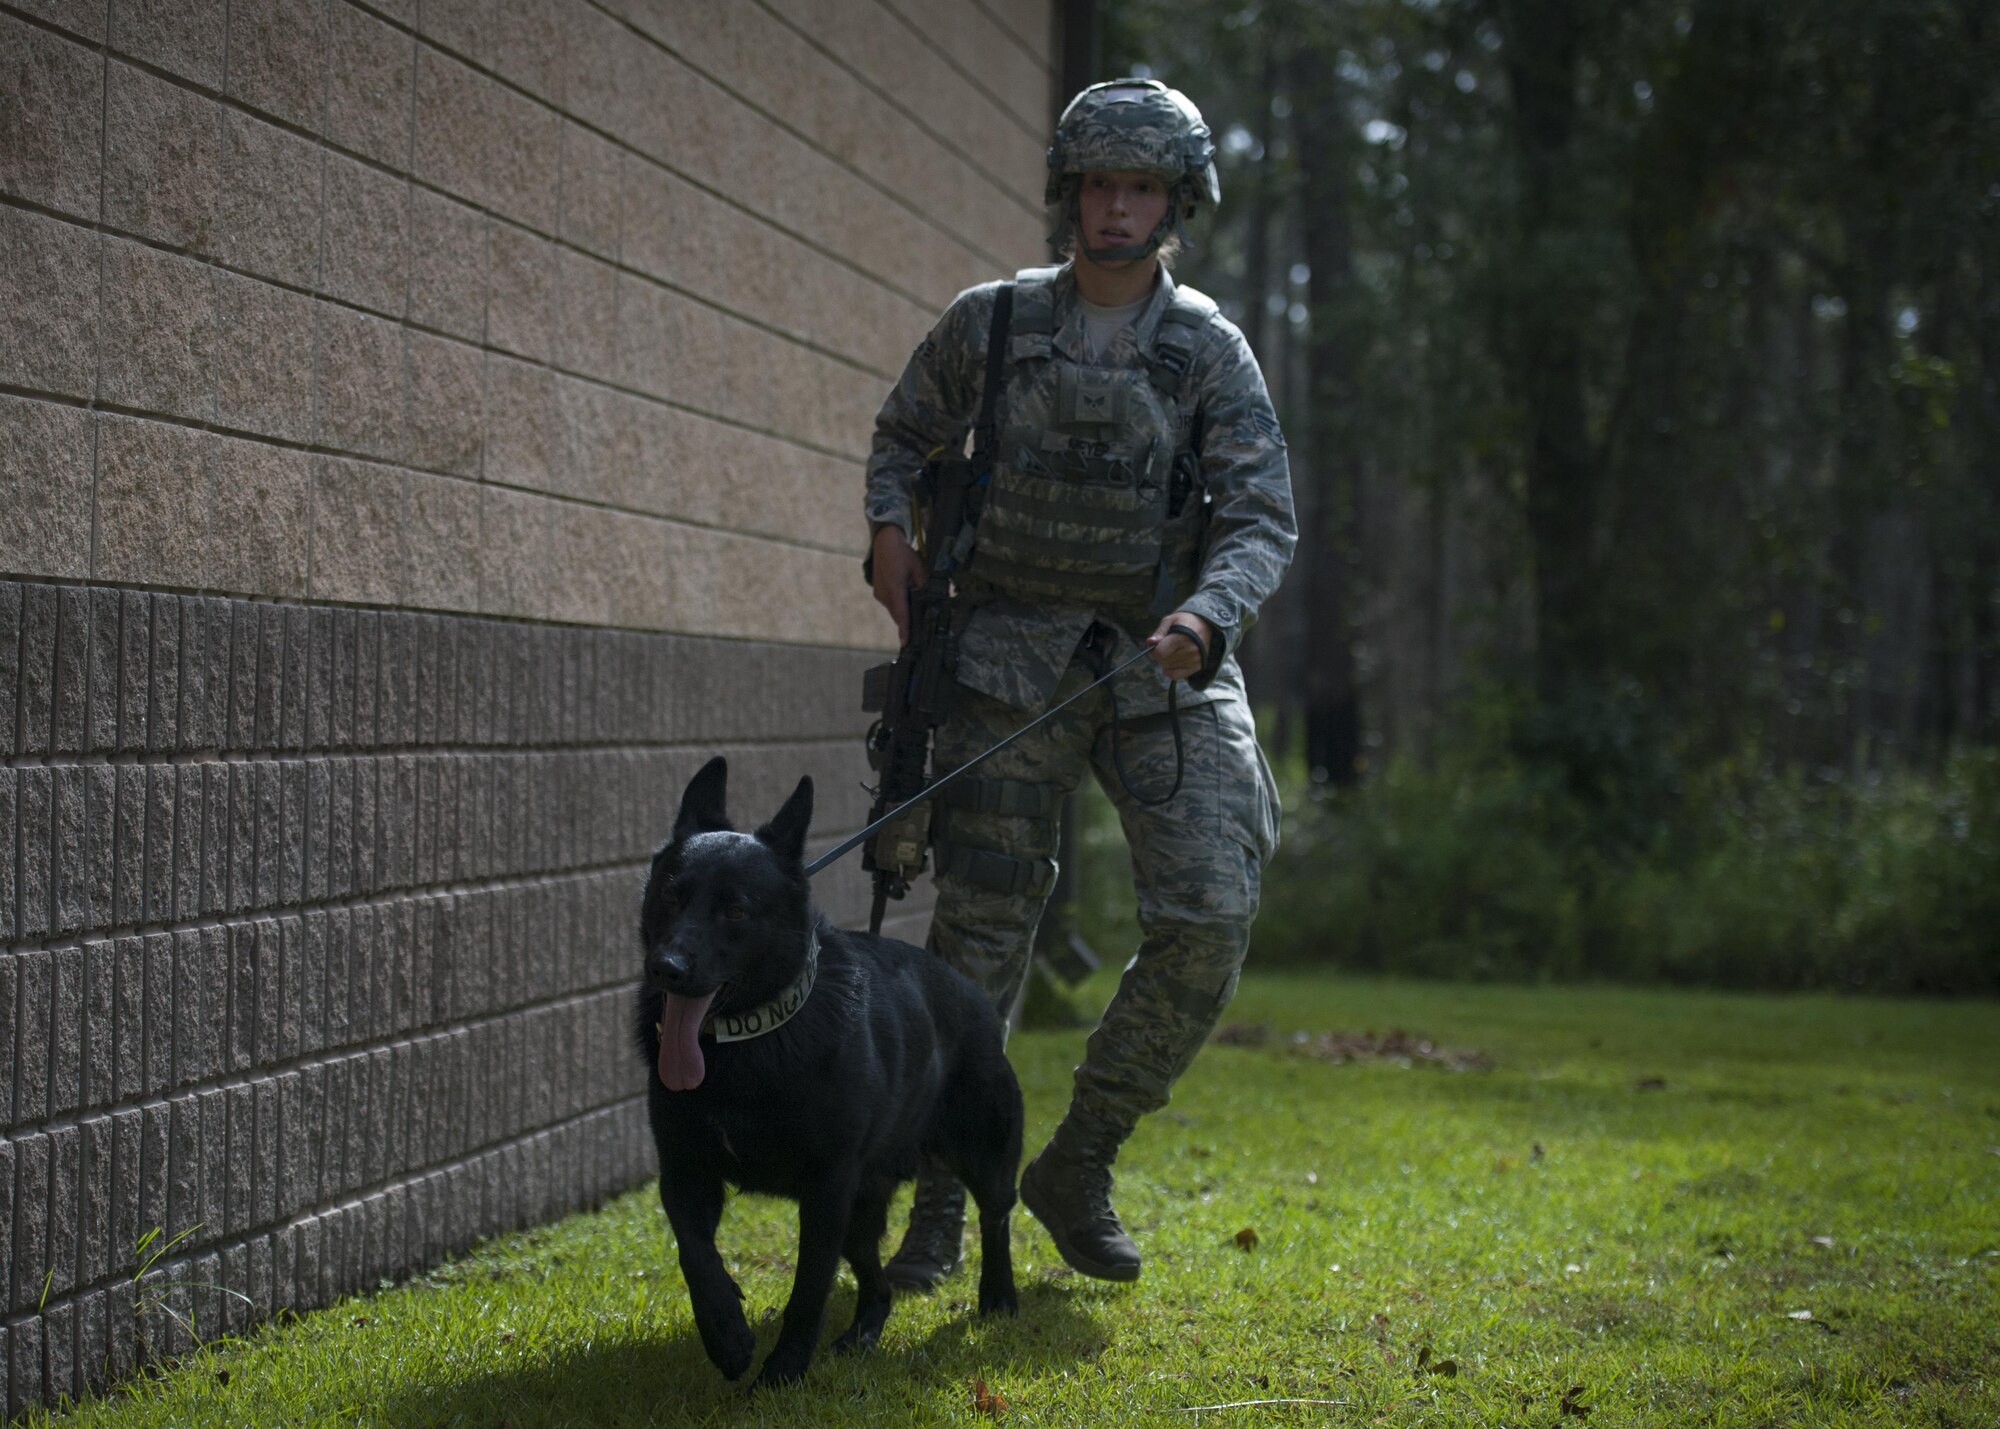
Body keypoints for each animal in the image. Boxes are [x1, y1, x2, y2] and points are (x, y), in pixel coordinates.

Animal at [636, 756, 1024, 1376]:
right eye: (671, 898)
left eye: (736, 910)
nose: (665, 968)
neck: (748, 1046)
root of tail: (972, 992)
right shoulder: (684, 1172)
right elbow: (696, 1255)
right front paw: (727, 1333)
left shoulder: (826, 1190)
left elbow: (809, 1288)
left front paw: (783, 1371)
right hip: (861, 1212)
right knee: (879, 1284)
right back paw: (861, 1335)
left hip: (977, 1155)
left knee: (996, 1217)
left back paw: (999, 1297)